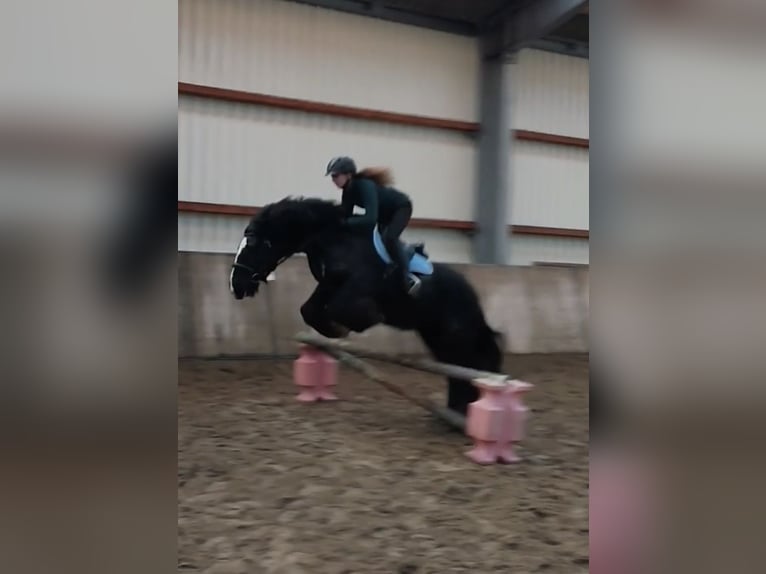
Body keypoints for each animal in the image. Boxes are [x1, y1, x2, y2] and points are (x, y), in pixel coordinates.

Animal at [229, 196, 504, 417]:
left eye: (252, 242)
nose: (235, 285)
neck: (336, 241)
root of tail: (470, 293)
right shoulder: (328, 284)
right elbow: (309, 310)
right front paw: (334, 331)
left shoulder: (355, 289)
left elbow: (342, 310)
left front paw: (352, 325)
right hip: (437, 337)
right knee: (458, 367)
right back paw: (456, 411)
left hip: (455, 335)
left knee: (471, 364)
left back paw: (467, 409)